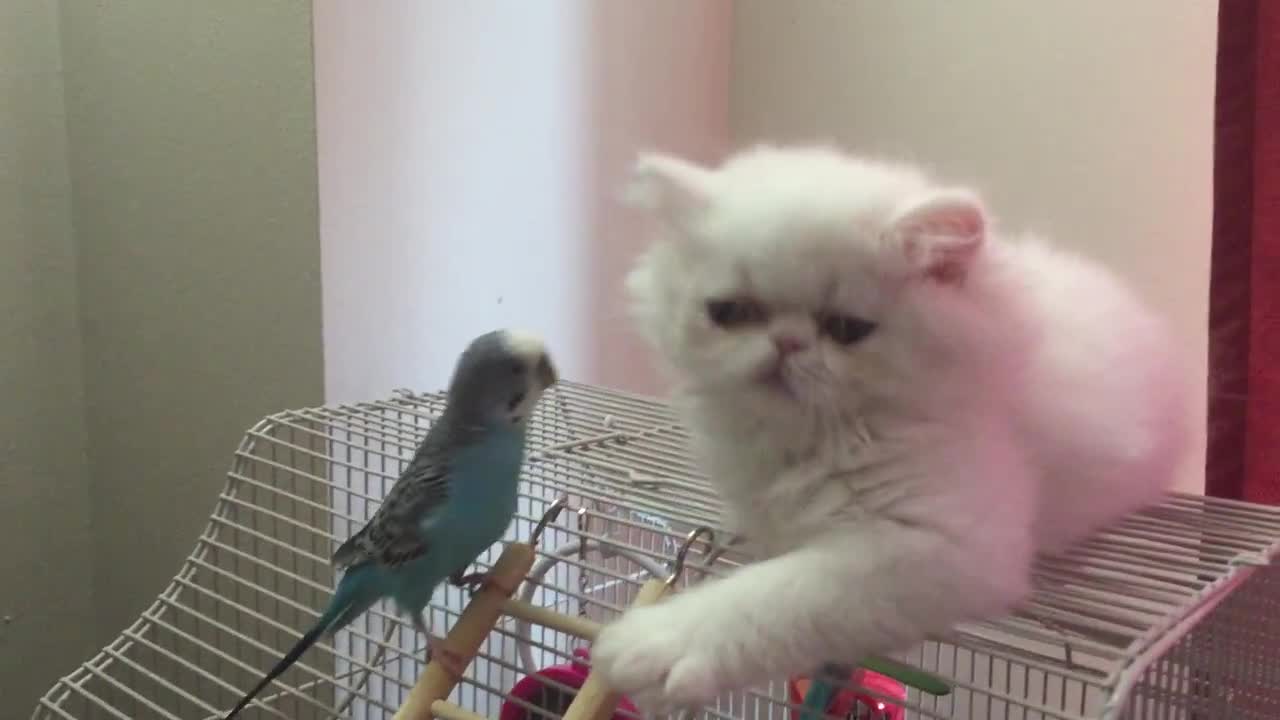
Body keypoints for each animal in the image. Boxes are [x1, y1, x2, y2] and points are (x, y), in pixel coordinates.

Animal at [588, 144, 1187, 702]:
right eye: (731, 313)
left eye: (846, 328)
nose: (786, 343)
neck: (802, 440)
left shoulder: (941, 545)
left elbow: (773, 596)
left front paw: (652, 645)